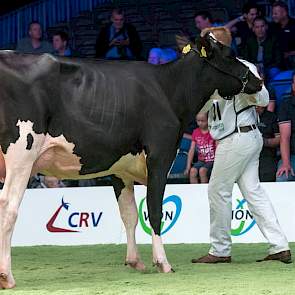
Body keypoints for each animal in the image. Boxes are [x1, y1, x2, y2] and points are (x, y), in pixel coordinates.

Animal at [0, 32, 264, 290]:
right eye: (230, 54)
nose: (259, 80)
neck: (169, 89)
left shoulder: (120, 169)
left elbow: (129, 215)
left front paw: (134, 261)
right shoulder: (160, 157)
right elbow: (154, 210)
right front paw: (162, 262)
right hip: (22, 153)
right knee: (8, 206)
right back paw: (7, 276)